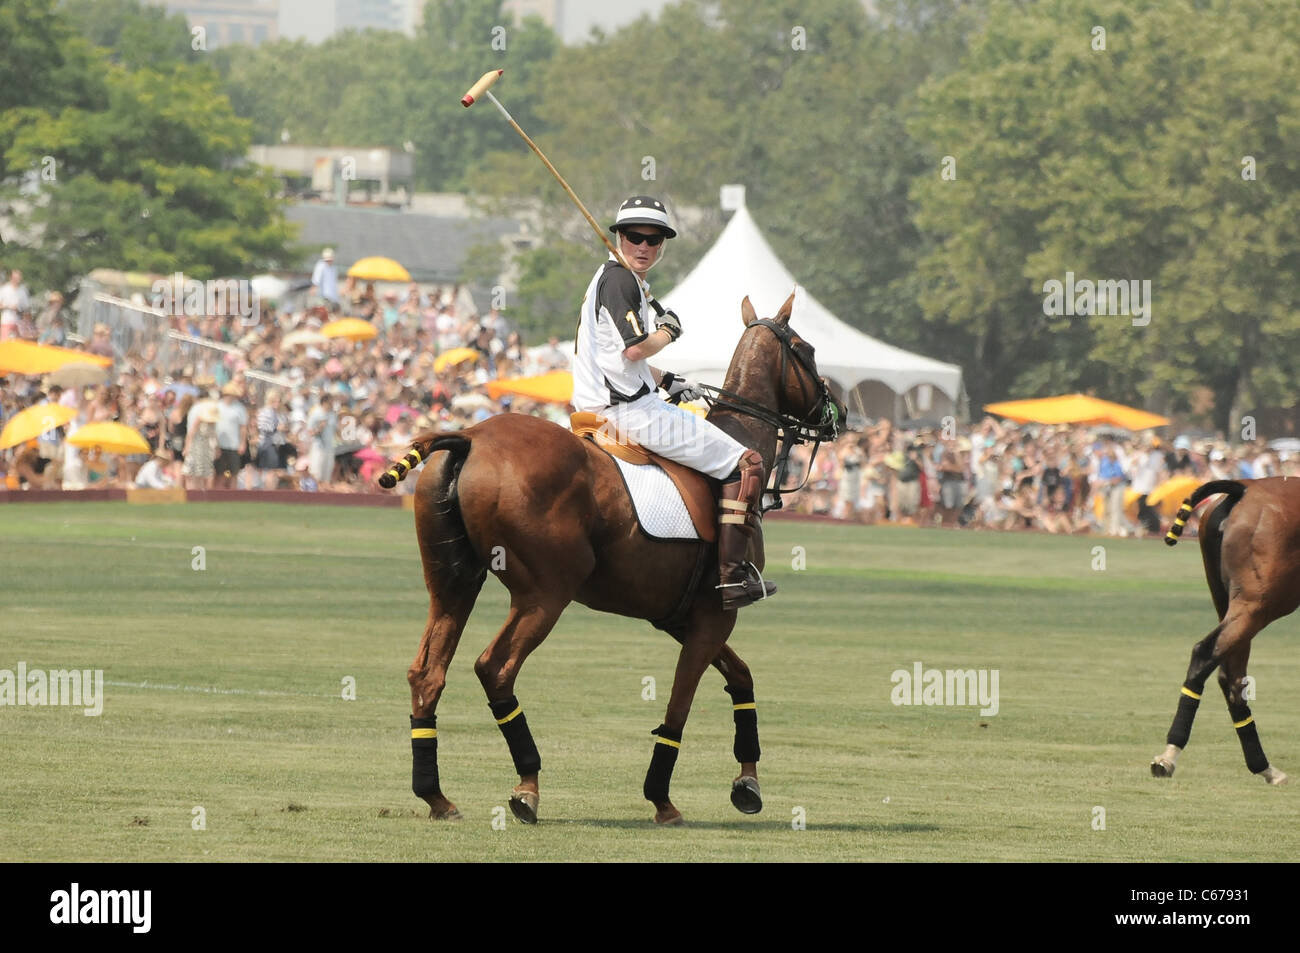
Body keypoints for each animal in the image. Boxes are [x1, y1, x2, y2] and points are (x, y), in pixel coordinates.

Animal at [379, 293, 842, 821]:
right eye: (807, 350)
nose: (839, 414)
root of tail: (470, 436)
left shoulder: (679, 615)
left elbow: (741, 677)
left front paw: (747, 782)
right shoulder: (715, 614)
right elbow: (679, 706)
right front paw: (662, 798)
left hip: (454, 582)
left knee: (427, 671)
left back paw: (435, 795)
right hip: (545, 593)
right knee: (495, 669)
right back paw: (526, 787)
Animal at [1154, 478, 1294, 785]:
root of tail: (1244, 488)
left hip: (1229, 601)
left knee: (1231, 676)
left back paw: (1263, 766)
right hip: (1259, 603)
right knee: (1206, 655)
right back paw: (1169, 754)